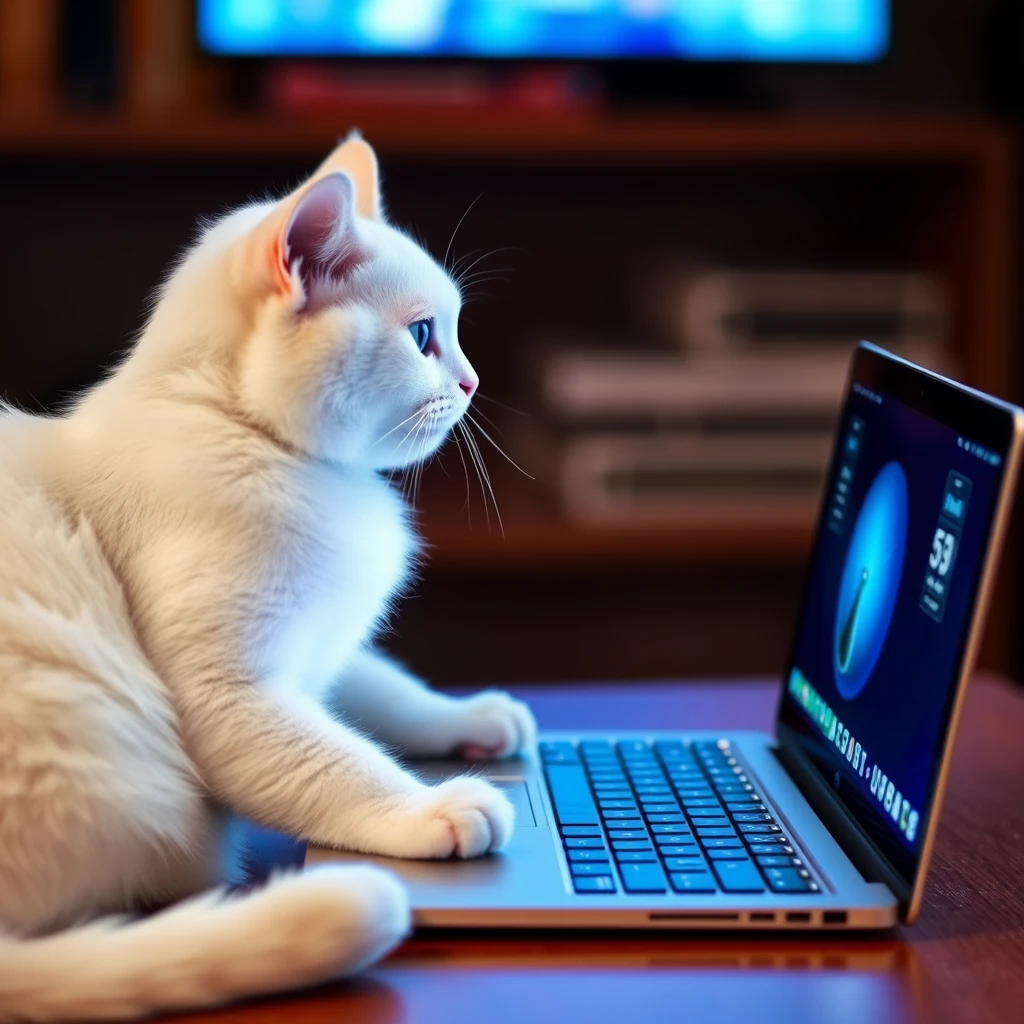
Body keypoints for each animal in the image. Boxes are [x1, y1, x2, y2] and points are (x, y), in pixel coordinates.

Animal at [0, 134, 540, 1015]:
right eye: (425, 334)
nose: (471, 382)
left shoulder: (322, 647)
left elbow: (383, 691)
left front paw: (473, 718)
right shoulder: (230, 694)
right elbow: (337, 763)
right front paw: (432, 806)